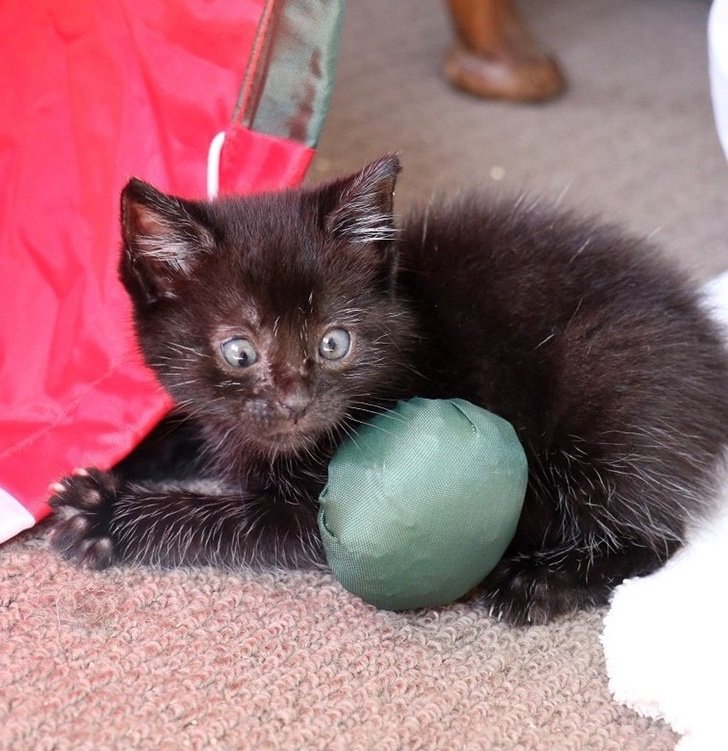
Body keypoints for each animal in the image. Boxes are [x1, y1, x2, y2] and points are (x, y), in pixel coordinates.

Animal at [49, 156, 728, 624]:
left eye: (334, 343)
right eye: (239, 352)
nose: (296, 401)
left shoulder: (313, 515)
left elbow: (229, 518)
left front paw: (107, 514)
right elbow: (190, 432)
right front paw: (113, 461)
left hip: (603, 384)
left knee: (653, 538)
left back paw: (539, 581)